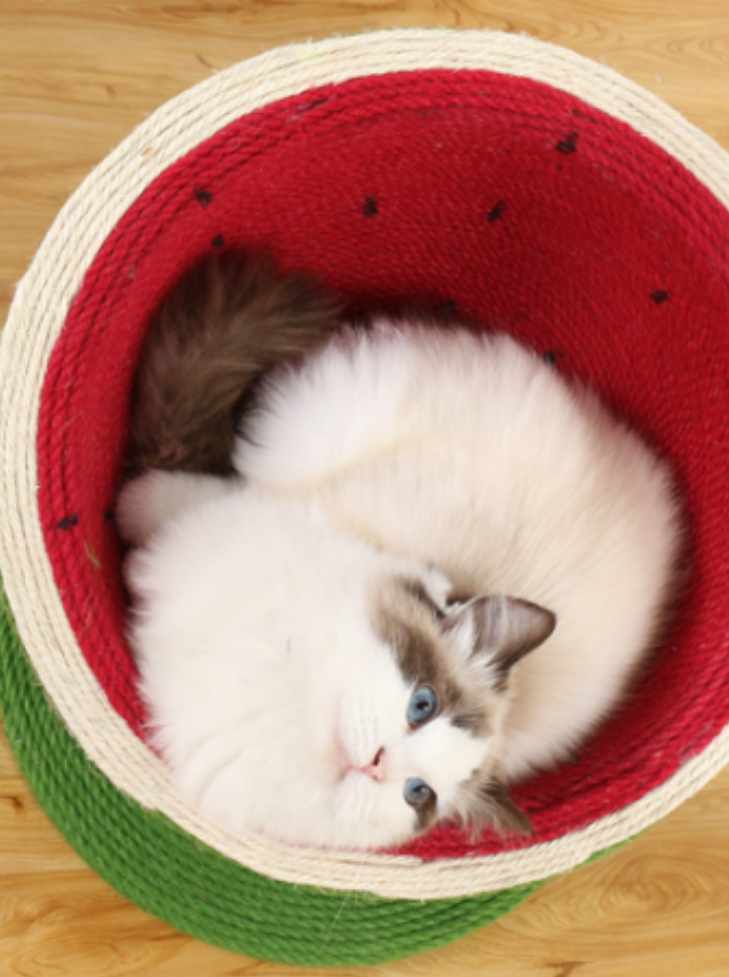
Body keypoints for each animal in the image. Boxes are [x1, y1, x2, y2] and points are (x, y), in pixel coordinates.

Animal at [115, 252, 684, 848]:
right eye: (422, 704)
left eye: (418, 793)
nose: (376, 764)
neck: (285, 699)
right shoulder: (261, 503)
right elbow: (177, 504)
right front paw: (130, 527)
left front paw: (130, 563)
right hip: (316, 428)